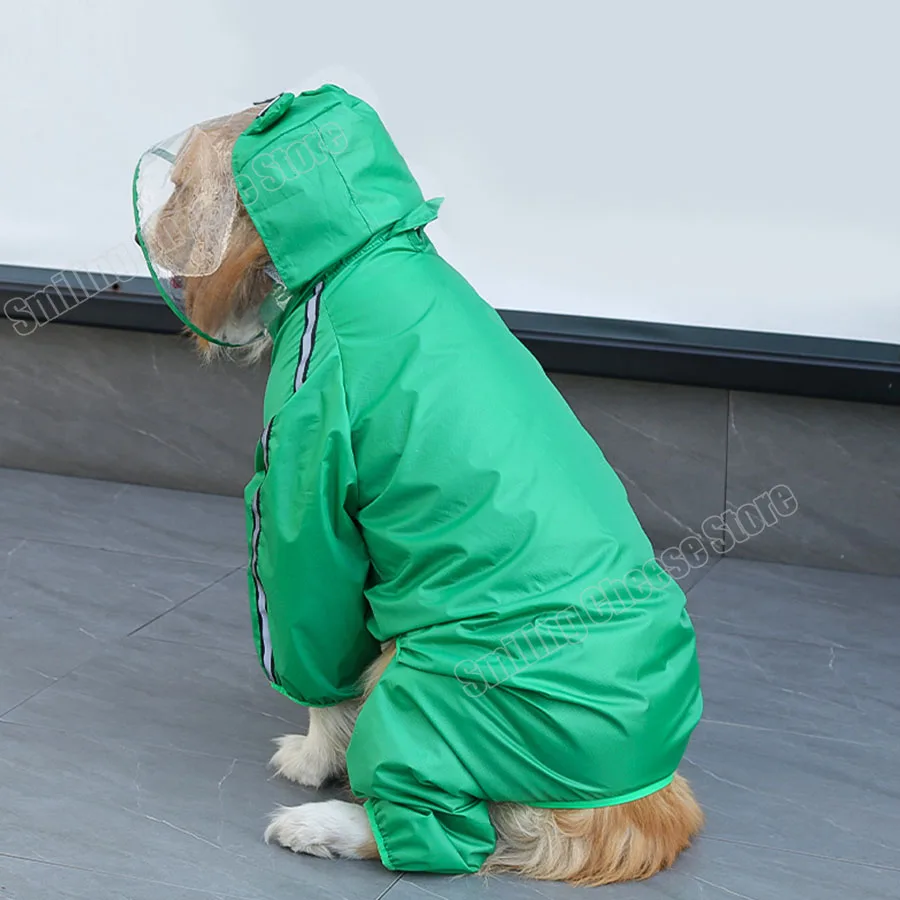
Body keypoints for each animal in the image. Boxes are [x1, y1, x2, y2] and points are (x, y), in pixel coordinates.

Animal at [139, 90, 704, 886]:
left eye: (180, 186)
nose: (152, 228)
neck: (365, 250)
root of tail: (644, 813)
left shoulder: (303, 489)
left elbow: (320, 658)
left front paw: (311, 758)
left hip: (422, 691)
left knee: (451, 839)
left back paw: (321, 824)